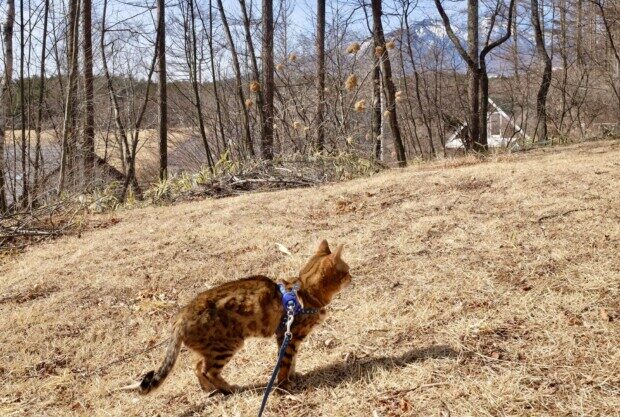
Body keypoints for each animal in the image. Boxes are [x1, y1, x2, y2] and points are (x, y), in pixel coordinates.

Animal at [135, 240, 351, 395]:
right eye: (347, 270)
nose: (352, 276)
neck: (305, 291)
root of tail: (180, 316)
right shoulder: (288, 335)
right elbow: (285, 362)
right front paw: (284, 385)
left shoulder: (289, 337)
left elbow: (292, 361)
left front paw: (293, 376)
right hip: (226, 345)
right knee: (207, 370)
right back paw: (229, 388)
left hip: (210, 348)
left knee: (197, 366)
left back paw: (210, 389)